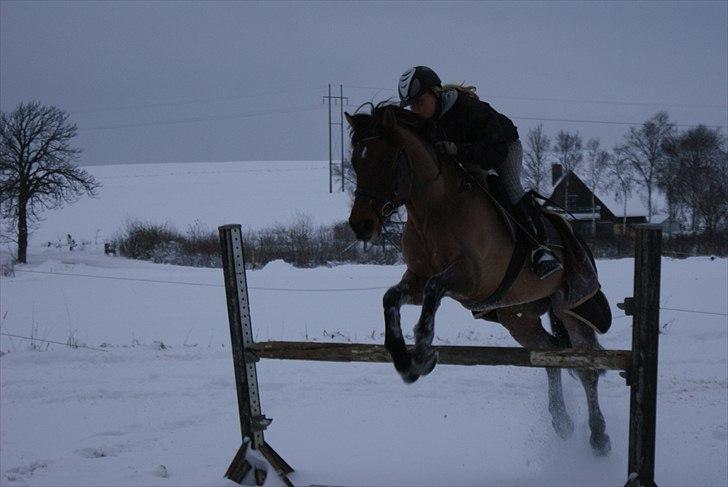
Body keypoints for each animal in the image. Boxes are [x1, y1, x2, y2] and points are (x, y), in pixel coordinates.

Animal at [344, 103, 612, 458]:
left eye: (386, 160)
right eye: (355, 161)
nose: (361, 224)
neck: (432, 209)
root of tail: (577, 235)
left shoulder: (470, 278)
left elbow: (433, 291)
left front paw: (423, 354)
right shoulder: (416, 278)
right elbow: (391, 298)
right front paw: (403, 361)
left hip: (571, 308)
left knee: (586, 368)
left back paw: (599, 437)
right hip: (518, 317)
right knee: (549, 354)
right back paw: (562, 422)